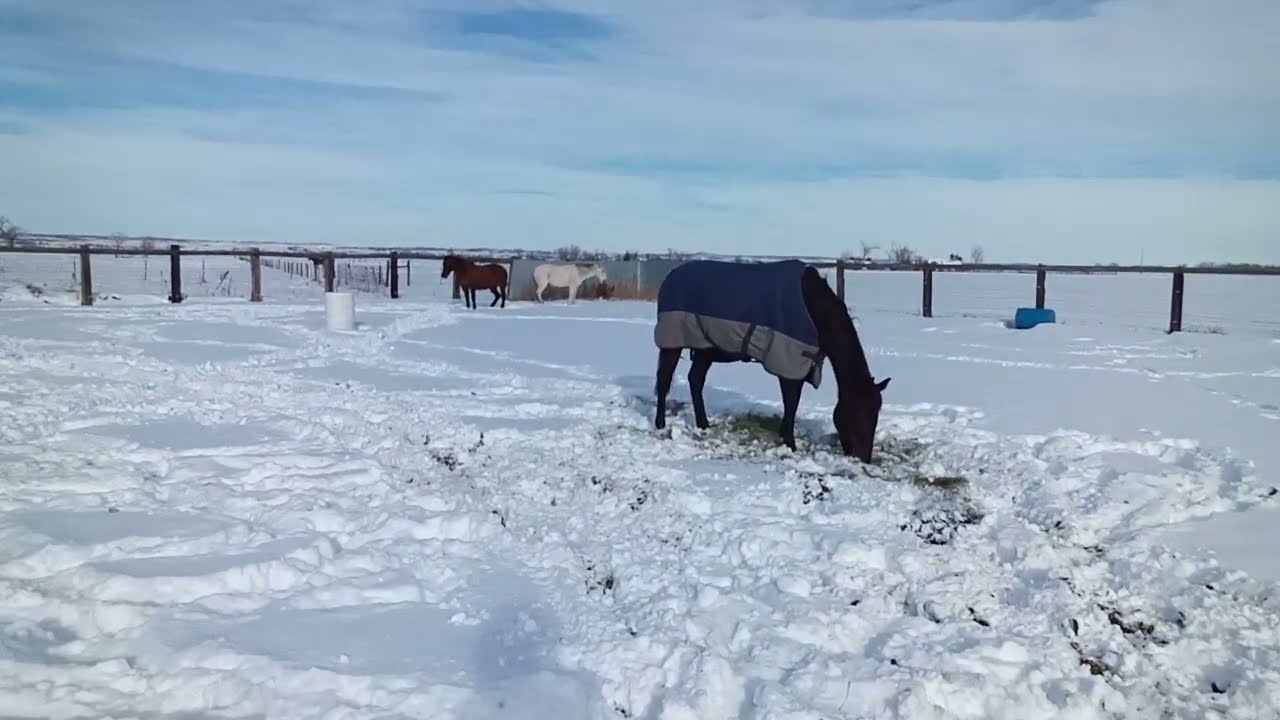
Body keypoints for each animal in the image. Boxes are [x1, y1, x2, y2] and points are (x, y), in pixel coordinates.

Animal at [652, 259, 890, 463]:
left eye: (876, 414)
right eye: (858, 411)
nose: (863, 457)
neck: (812, 308)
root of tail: (670, 278)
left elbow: (791, 404)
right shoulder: (788, 361)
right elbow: (791, 403)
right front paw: (790, 444)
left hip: (705, 348)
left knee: (695, 380)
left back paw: (703, 424)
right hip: (672, 342)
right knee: (664, 380)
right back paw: (660, 424)